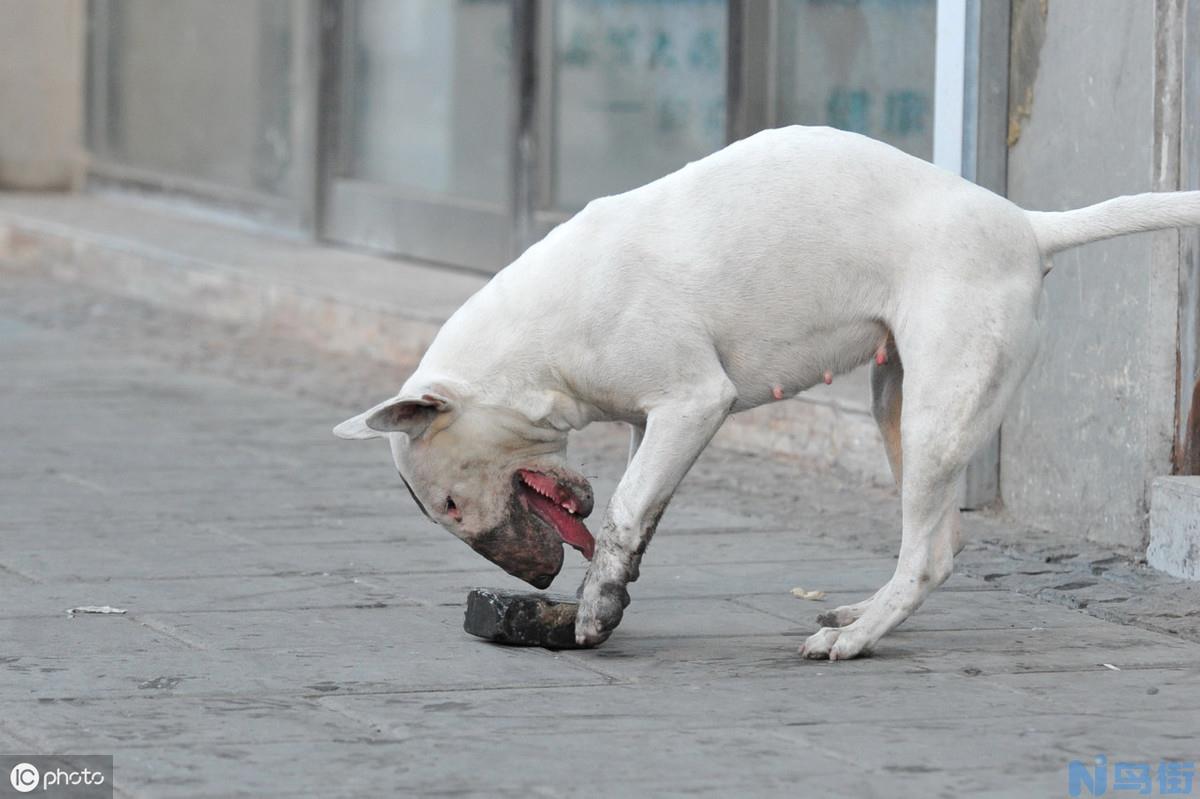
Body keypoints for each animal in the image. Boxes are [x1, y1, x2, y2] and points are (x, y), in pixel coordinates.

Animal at [336, 124, 1200, 657]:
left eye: (449, 506)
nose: (531, 583)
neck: (540, 341)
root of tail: (1027, 225)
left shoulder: (694, 401)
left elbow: (624, 509)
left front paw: (593, 602)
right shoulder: (653, 423)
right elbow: (636, 512)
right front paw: (602, 594)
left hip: (937, 413)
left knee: (926, 554)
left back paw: (854, 639)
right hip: (900, 402)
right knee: (941, 544)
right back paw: (861, 614)